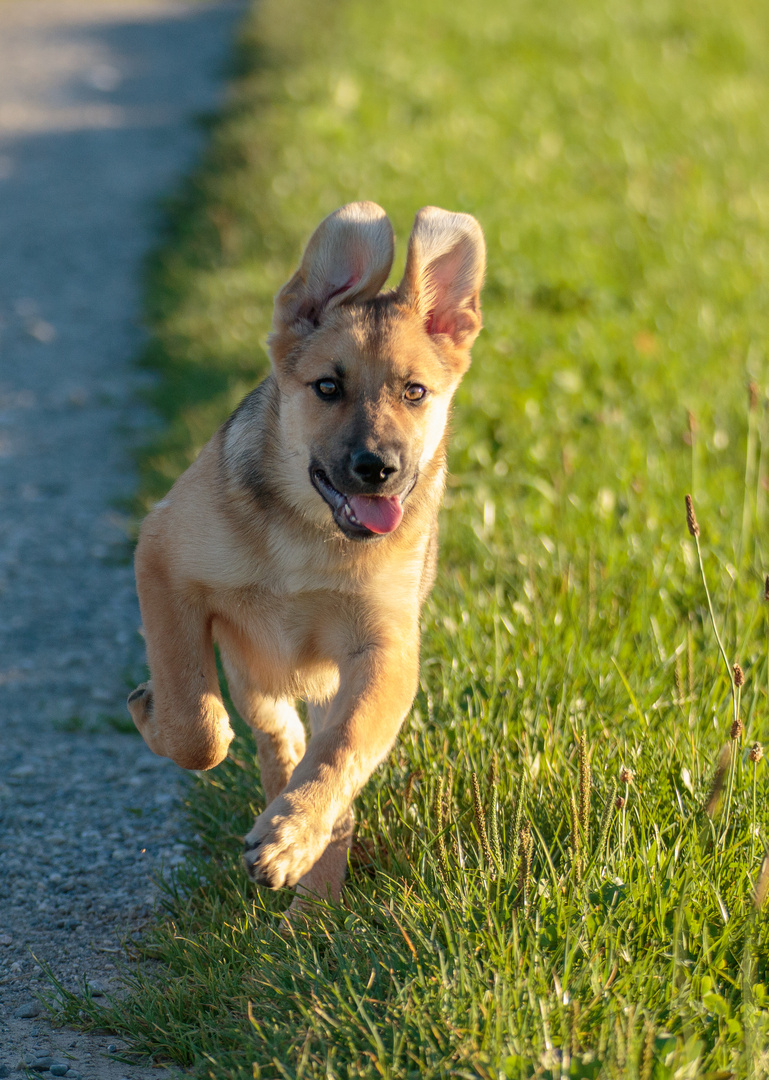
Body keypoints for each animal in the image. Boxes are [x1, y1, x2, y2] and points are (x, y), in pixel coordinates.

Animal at [128, 200, 483, 902]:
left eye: (415, 392)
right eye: (326, 388)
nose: (378, 468)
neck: (308, 537)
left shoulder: (385, 649)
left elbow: (344, 748)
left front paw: (291, 838)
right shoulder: (163, 560)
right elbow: (194, 722)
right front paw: (156, 712)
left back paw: (312, 893)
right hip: (251, 665)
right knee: (271, 730)